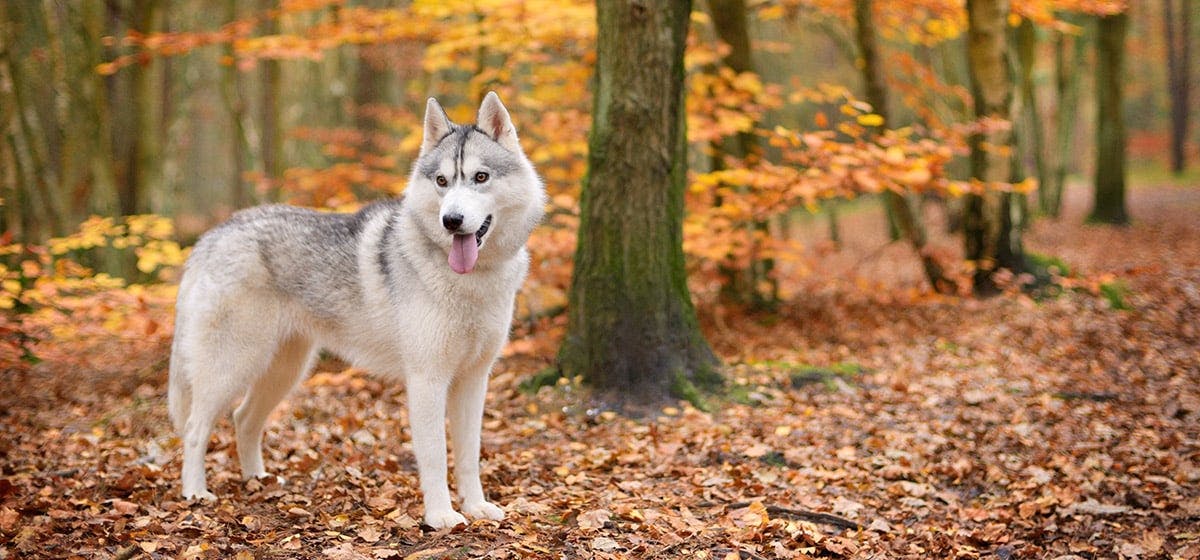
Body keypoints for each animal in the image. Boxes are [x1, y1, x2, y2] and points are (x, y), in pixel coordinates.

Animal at [165, 92, 549, 530]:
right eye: (442, 182)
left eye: (481, 177)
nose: (451, 221)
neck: (471, 282)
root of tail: (212, 235)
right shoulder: (427, 380)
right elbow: (436, 456)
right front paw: (440, 516)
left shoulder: (473, 380)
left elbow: (469, 455)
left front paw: (476, 507)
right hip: (233, 367)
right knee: (195, 429)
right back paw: (195, 494)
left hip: (284, 371)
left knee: (244, 420)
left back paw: (257, 481)